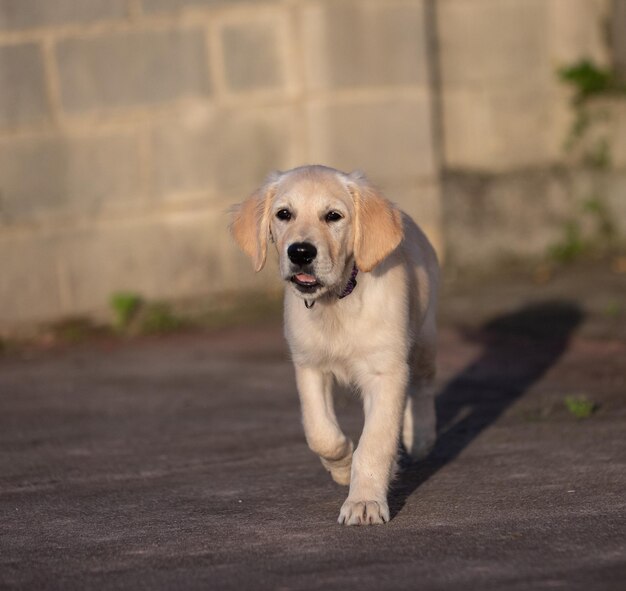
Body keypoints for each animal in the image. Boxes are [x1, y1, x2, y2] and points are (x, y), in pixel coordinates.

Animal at [230, 164, 438, 524]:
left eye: (333, 216)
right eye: (284, 214)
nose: (300, 252)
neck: (336, 302)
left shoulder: (385, 372)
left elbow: (375, 442)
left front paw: (364, 502)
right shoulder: (309, 366)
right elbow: (320, 433)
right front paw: (342, 466)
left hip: (424, 337)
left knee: (422, 386)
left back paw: (420, 437)